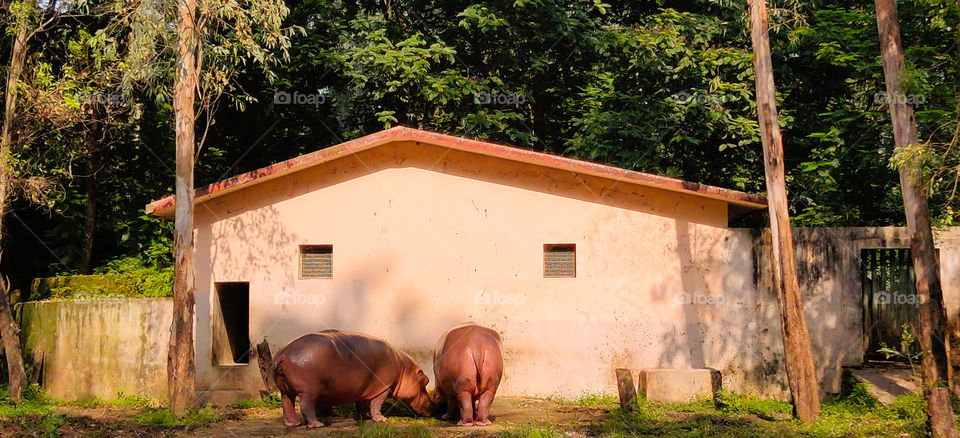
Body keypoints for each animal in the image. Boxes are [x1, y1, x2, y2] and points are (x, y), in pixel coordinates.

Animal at [272, 329, 433, 427]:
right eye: (426, 381)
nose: (433, 405)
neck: (404, 369)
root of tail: (283, 354)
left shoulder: (366, 387)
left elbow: (362, 404)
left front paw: (364, 416)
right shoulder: (384, 388)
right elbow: (376, 404)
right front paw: (382, 420)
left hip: (285, 390)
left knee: (287, 404)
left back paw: (293, 424)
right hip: (308, 392)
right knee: (306, 407)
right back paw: (318, 425)